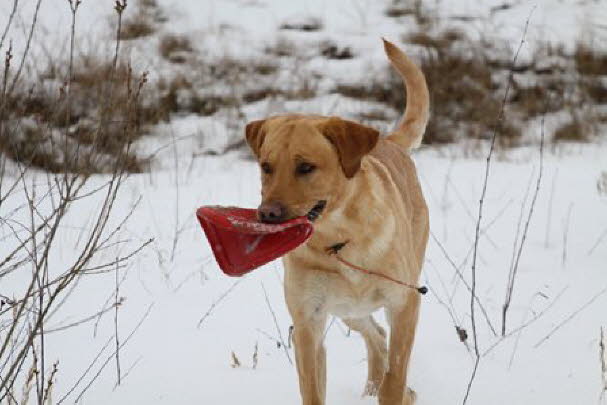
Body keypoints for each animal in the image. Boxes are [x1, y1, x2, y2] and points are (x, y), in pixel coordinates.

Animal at [245, 38, 430, 404]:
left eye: (305, 167)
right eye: (266, 167)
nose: (267, 214)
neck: (338, 239)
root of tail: (388, 141)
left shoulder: (405, 303)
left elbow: (396, 375)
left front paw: (395, 391)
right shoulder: (308, 322)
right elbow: (313, 388)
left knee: (384, 342)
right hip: (348, 311)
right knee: (376, 334)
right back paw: (371, 387)